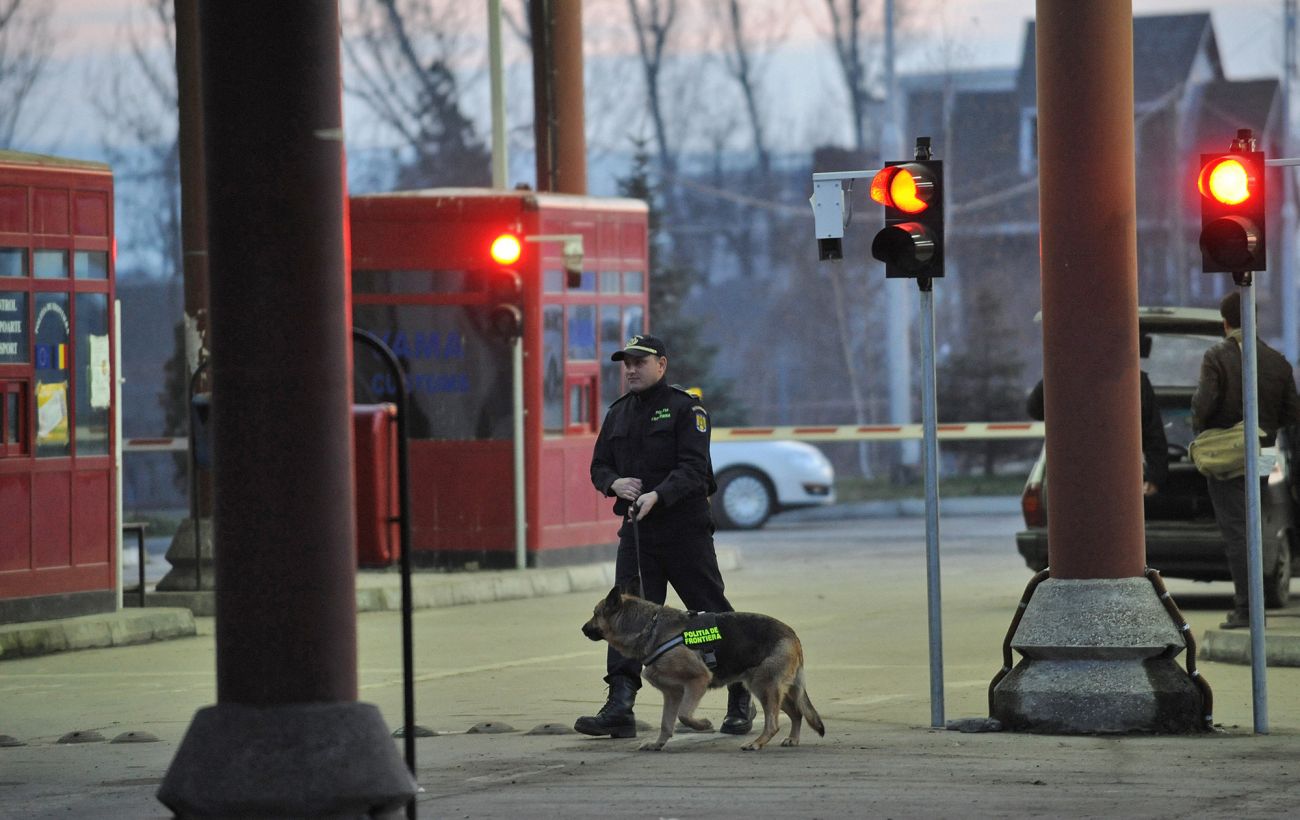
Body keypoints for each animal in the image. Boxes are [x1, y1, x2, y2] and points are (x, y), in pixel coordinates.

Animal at [579, 587, 821, 753]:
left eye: (595, 613)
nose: (582, 629)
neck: (650, 627)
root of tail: (792, 634)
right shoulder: (672, 693)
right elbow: (666, 723)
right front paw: (658, 743)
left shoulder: (698, 680)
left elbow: (685, 715)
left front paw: (703, 724)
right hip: (774, 690)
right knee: (797, 712)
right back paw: (792, 739)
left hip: (764, 687)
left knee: (774, 723)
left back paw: (756, 743)